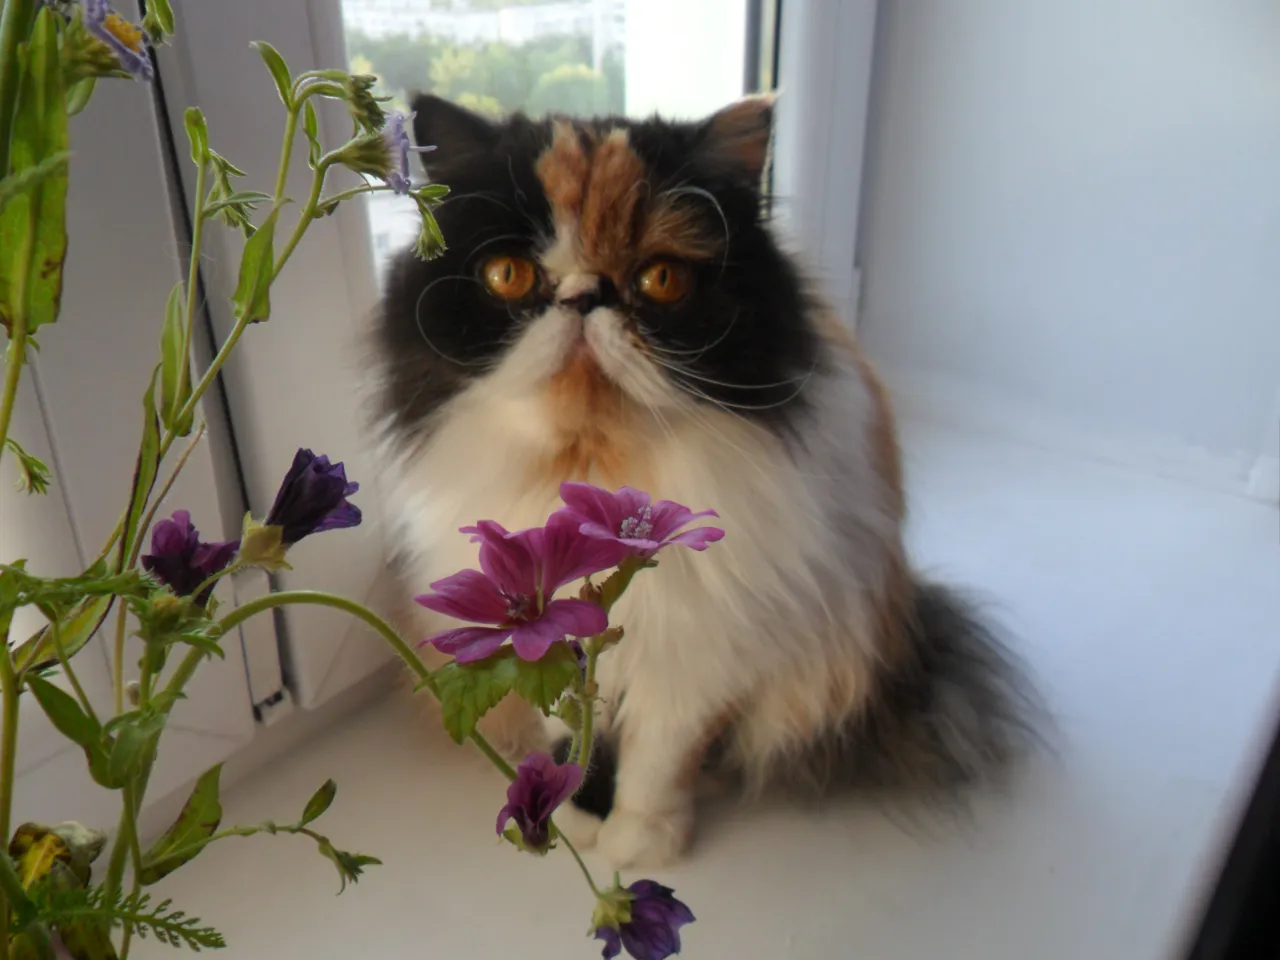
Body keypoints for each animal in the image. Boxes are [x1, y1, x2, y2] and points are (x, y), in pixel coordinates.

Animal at [368, 92, 1029, 870]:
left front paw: (641, 844)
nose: (585, 297)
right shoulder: (539, 636)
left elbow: (660, 759)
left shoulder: (700, 655)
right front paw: (570, 817)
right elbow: (568, 737)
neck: (594, 465)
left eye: (660, 280)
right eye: (508, 276)